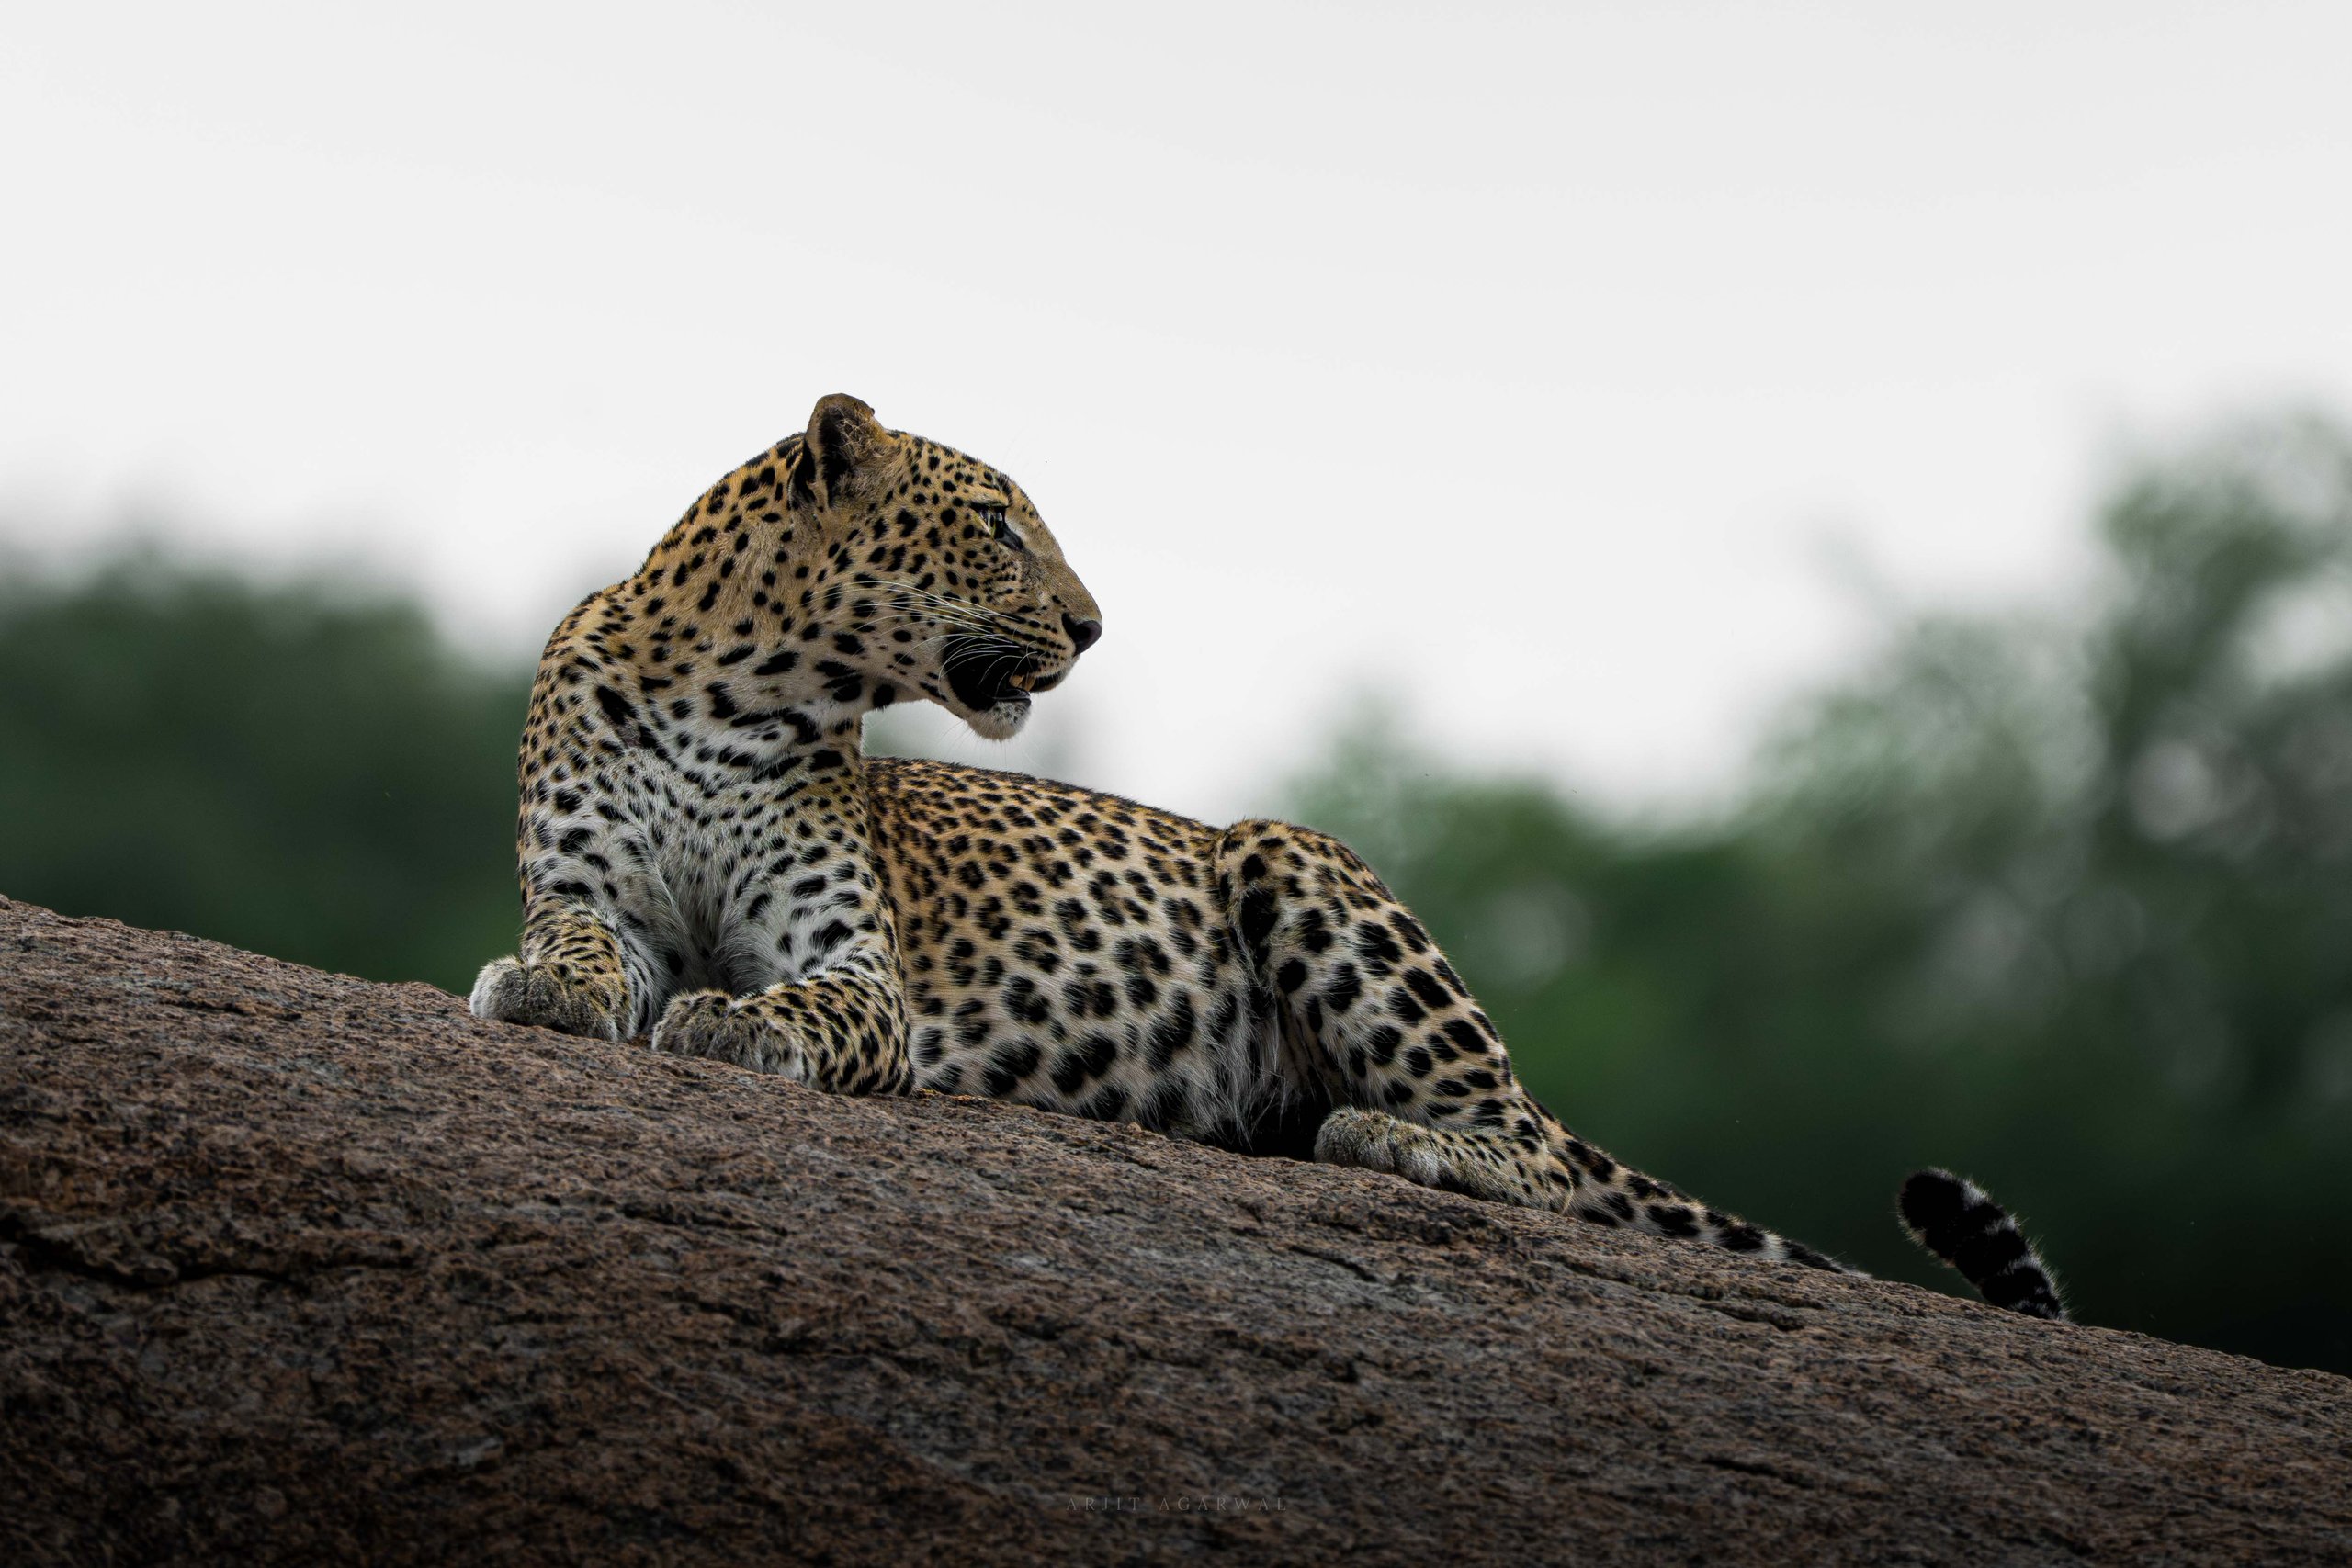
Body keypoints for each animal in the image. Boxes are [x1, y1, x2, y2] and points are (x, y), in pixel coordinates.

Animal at [470, 393, 2066, 1322]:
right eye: (997, 525)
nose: (1094, 622)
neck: (734, 689)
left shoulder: (853, 959)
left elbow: (798, 996)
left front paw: (732, 1020)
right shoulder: (591, 893)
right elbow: (573, 948)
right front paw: (539, 993)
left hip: (1290, 853)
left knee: (1531, 1152)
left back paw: (1394, 1136)